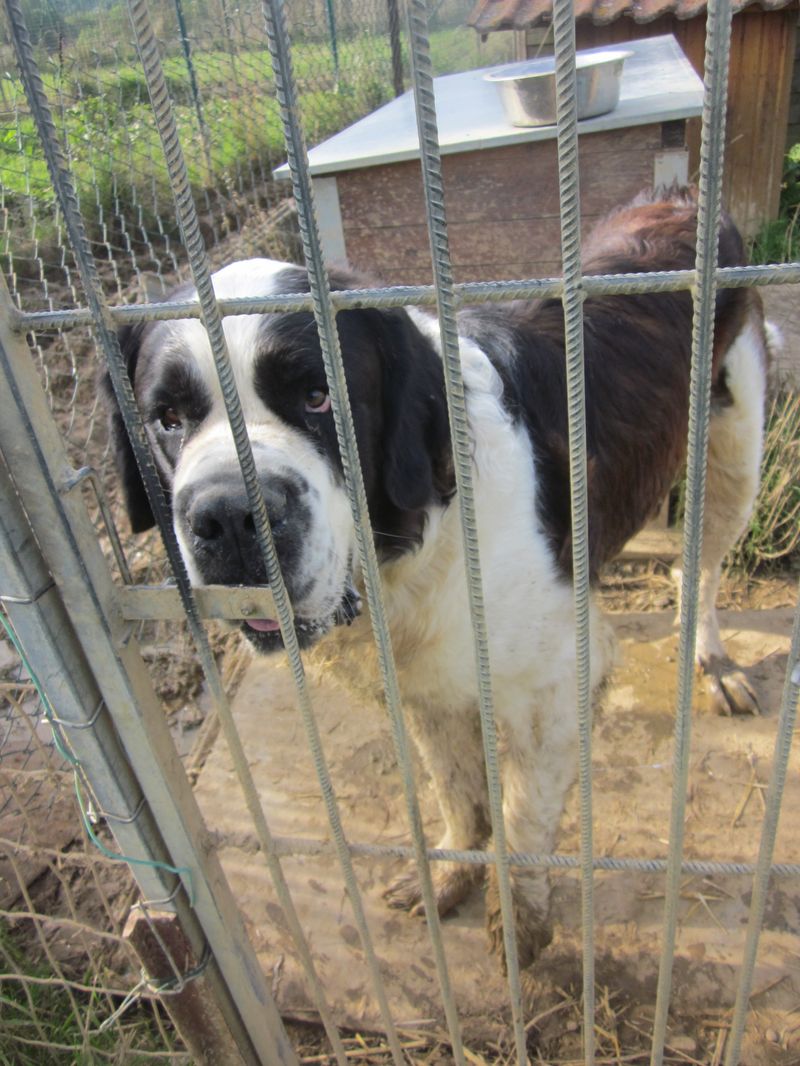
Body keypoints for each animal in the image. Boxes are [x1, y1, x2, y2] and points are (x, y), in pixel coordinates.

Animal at [101, 189, 772, 967]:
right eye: (167, 418)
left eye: (319, 396)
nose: (230, 517)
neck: (415, 539)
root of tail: (678, 198)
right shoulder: (421, 681)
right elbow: (458, 788)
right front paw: (452, 873)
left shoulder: (550, 689)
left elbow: (524, 812)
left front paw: (520, 924)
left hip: (735, 453)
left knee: (703, 565)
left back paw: (714, 661)